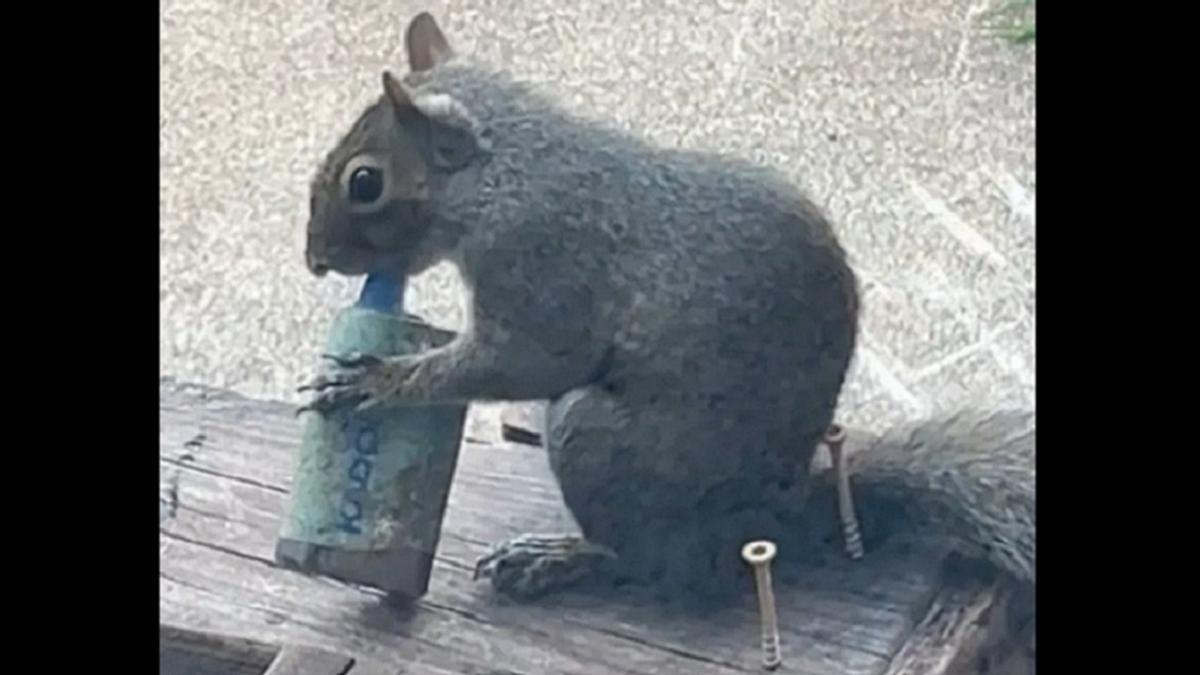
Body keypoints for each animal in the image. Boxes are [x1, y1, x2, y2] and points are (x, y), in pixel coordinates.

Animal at [299, 13, 1034, 602]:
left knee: (652, 566)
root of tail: (780, 518)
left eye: (365, 181)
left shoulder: (544, 263)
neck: (506, 173)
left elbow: (529, 362)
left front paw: (375, 380)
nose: (314, 260)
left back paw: (562, 558)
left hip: (599, 440)